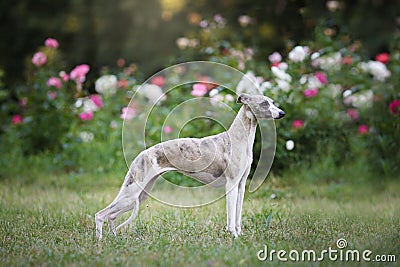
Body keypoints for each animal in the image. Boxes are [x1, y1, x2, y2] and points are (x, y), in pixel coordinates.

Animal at [95, 94, 286, 241]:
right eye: (264, 103)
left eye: (272, 101)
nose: (282, 113)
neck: (238, 139)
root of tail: (141, 155)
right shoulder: (231, 184)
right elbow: (231, 215)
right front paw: (233, 235)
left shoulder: (241, 185)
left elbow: (238, 214)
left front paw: (240, 234)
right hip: (130, 194)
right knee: (101, 214)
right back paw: (100, 241)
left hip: (139, 196)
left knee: (111, 216)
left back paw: (114, 238)